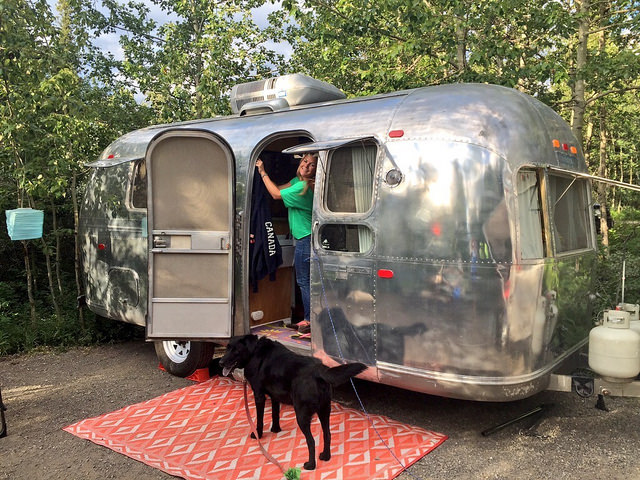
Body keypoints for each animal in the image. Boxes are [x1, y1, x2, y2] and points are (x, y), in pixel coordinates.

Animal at [219, 334, 364, 468]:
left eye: (235, 350)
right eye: (227, 348)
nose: (220, 362)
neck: (254, 351)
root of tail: (319, 370)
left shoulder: (259, 395)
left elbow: (259, 420)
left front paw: (258, 434)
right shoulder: (275, 396)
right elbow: (275, 414)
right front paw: (276, 429)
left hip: (301, 414)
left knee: (311, 441)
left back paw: (310, 465)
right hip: (324, 410)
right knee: (327, 434)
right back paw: (325, 456)